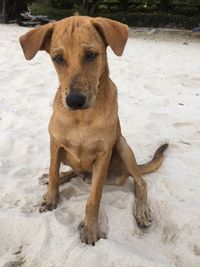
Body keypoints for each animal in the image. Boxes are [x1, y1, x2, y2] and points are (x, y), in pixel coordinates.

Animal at [19, 15, 168, 246]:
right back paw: (63, 177)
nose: (74, 101)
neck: (82, 118)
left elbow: (94, 198)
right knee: (72, 171)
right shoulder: (55, 143)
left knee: (140, 182)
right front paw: (51, 196)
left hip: (122, 146)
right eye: (58, 58)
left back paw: (141, 209)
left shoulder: (104, 153)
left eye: (91, 55)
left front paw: (90, 229)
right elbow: (53, 172)